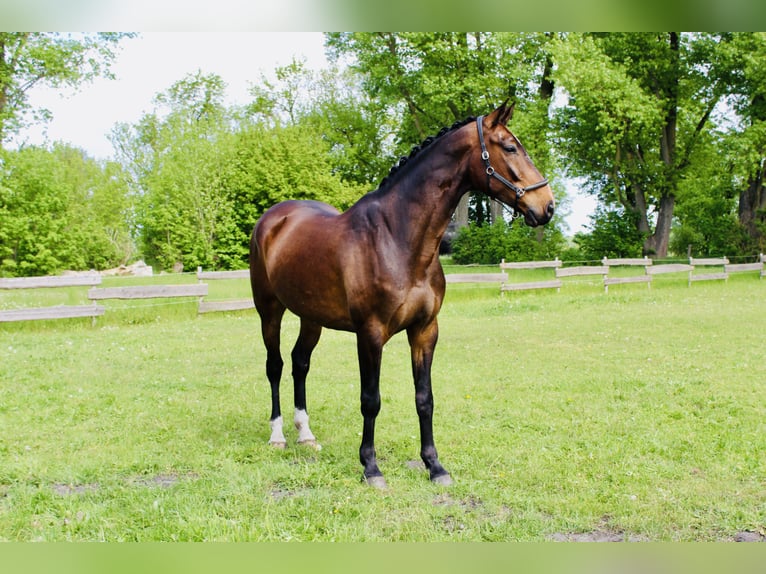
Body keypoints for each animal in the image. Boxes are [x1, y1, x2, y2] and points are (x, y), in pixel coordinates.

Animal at [249, 102, 555, 488]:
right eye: (511, 147)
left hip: (311, 317)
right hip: (269, 310)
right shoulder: (370, 334)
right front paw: (371, 467)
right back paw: (278, 436)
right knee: (275, 365)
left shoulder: (425, 330)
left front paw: (434, 466)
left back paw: (305, 434)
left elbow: (425, 398)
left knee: (300, 363)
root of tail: (273, 218)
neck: (398, 237)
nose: (547, 206)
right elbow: (371, 399)